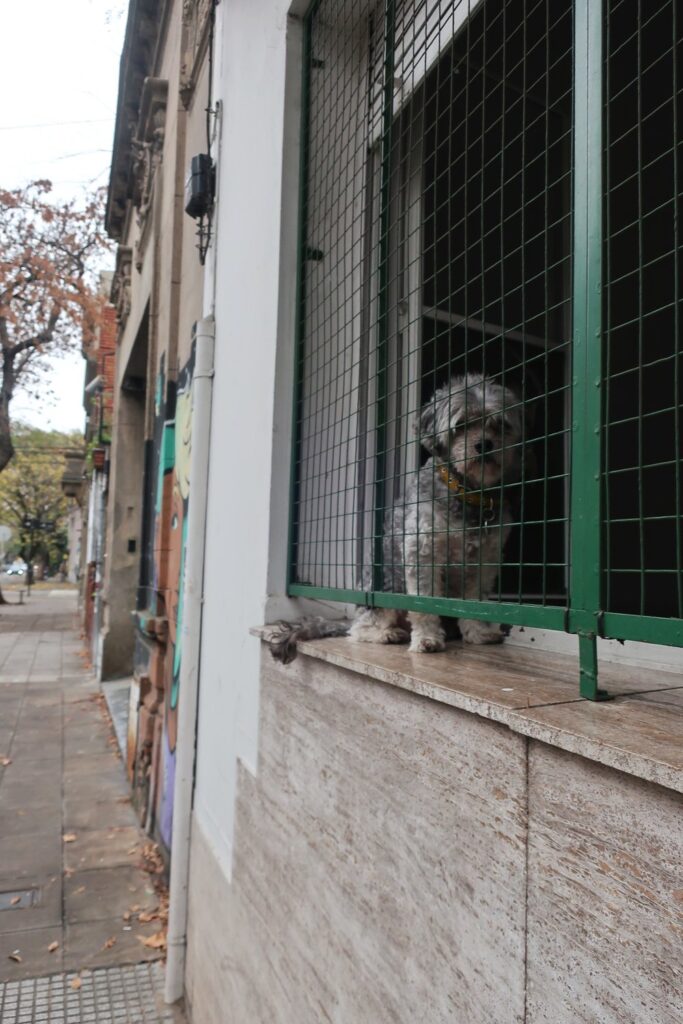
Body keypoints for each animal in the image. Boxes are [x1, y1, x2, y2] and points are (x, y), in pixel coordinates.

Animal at [266, 372, 524, 659]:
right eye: (461, 425)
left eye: (499, 424)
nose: (484, 445)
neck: (465, 494)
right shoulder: (422, 551)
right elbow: (424, 605)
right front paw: (426, 639)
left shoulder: (484, 560)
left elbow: (476, 602)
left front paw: (479, 633)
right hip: (383, 585)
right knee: (359, 629)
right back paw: (386, 633)